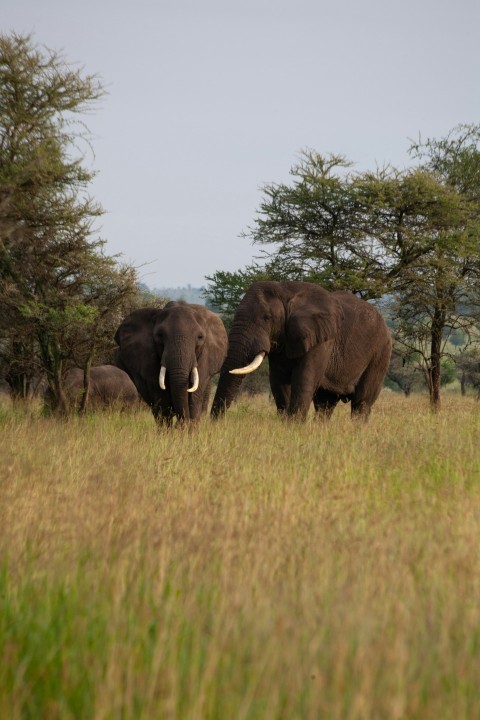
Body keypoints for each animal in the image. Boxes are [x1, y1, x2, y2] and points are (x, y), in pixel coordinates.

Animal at [211, 280, 392, 421]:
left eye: (266, 318)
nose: (215, 423)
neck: (286, 290)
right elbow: (279, 381)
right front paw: (285, 425)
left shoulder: (322, 339)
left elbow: (304, 378)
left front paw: (294, 427)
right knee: (325, 403)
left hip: (381, 353)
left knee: (362, 402)